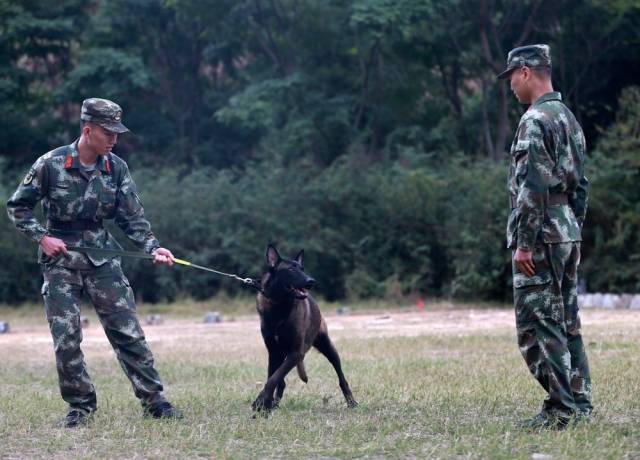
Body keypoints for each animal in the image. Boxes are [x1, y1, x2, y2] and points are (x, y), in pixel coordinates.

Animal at [251, 244, 360, 414]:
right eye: (290, 269)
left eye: (302, 268)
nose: (311, 281)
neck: (279, 306)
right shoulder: (274, 352)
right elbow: (272, 377)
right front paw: (265, 405)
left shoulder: (296, 353)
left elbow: (273, 378)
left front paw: (261, 403)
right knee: (281, 381)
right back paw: (275, 403)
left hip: (328, 348)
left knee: (341, 377)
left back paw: (351, 401)